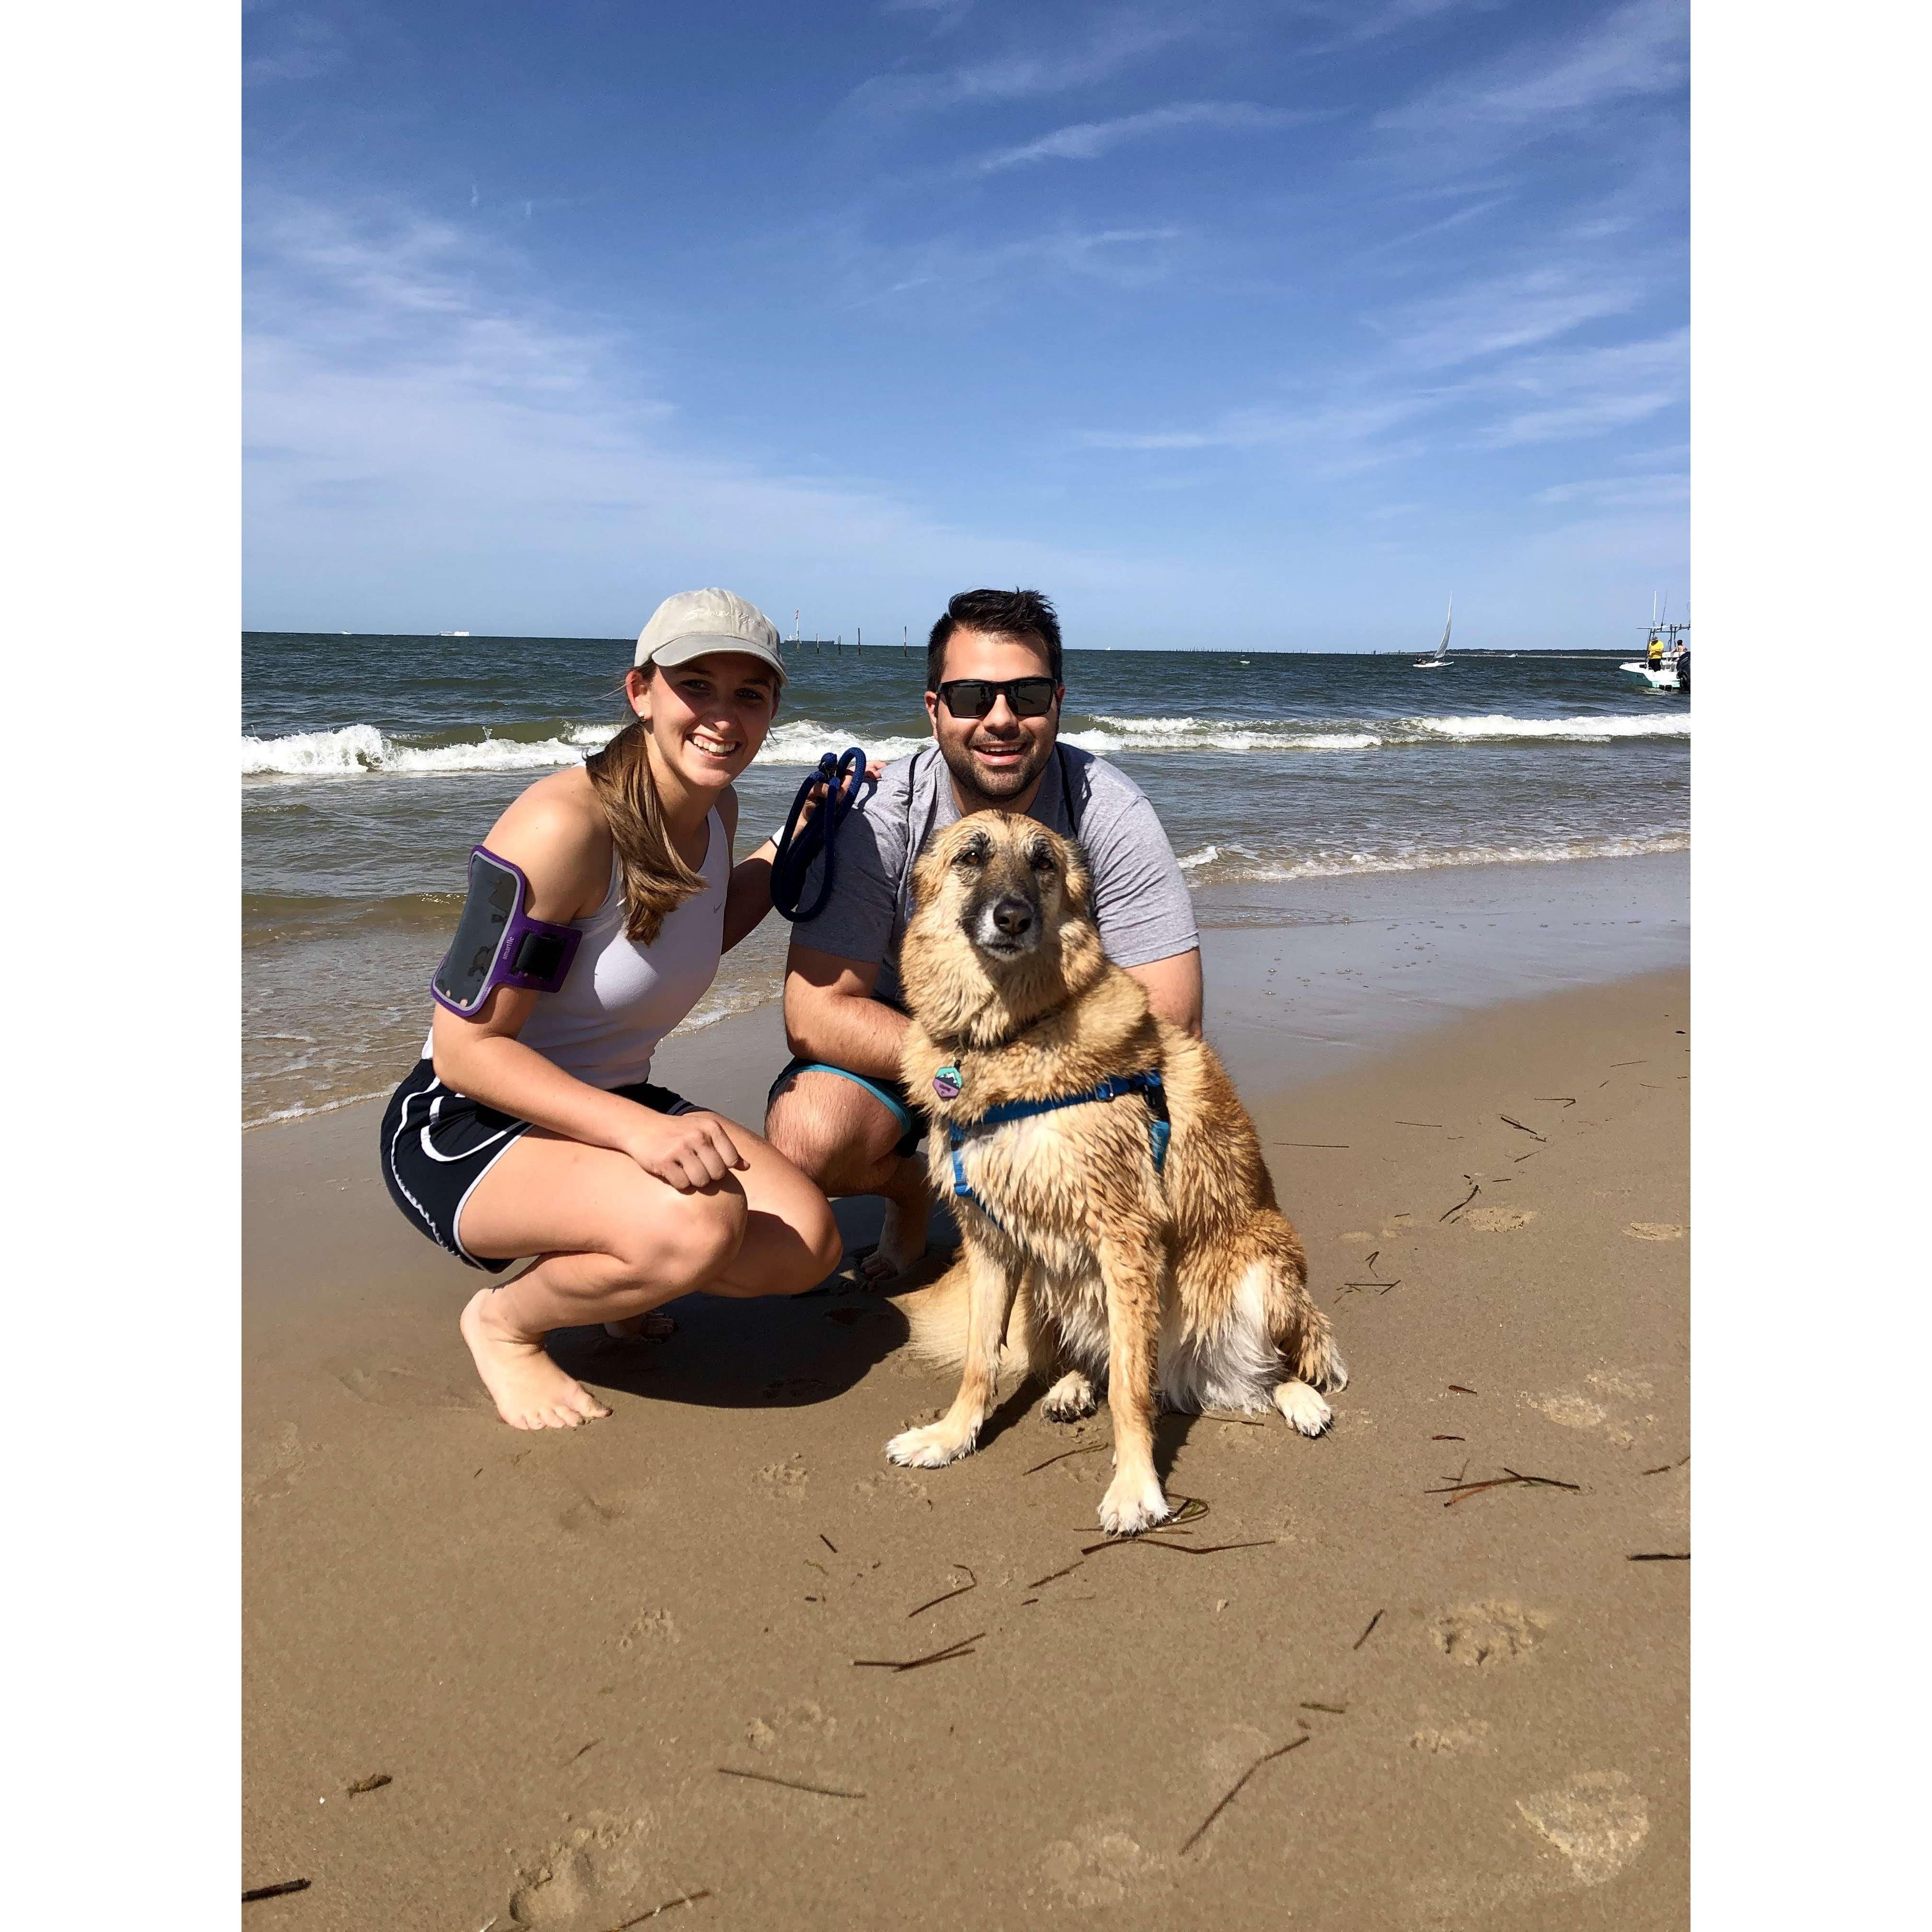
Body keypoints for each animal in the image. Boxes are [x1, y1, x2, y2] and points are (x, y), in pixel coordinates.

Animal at [881, 807, 1345, 1530]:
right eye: (971, 857)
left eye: (1043, 862)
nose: (1012, 918)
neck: (1008, 1036)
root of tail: (1189, 1372)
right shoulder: (991, 1243)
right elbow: (982, 1362)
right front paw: (951, 1437)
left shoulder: (1125, 1238)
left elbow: (1130, 1388)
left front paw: (1135, 1487)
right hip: (1044, 1283)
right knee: (1072, 1359)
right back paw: (1071, 1385)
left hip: (1259, 1268)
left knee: (1272, 1368)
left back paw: (1299, 1398)